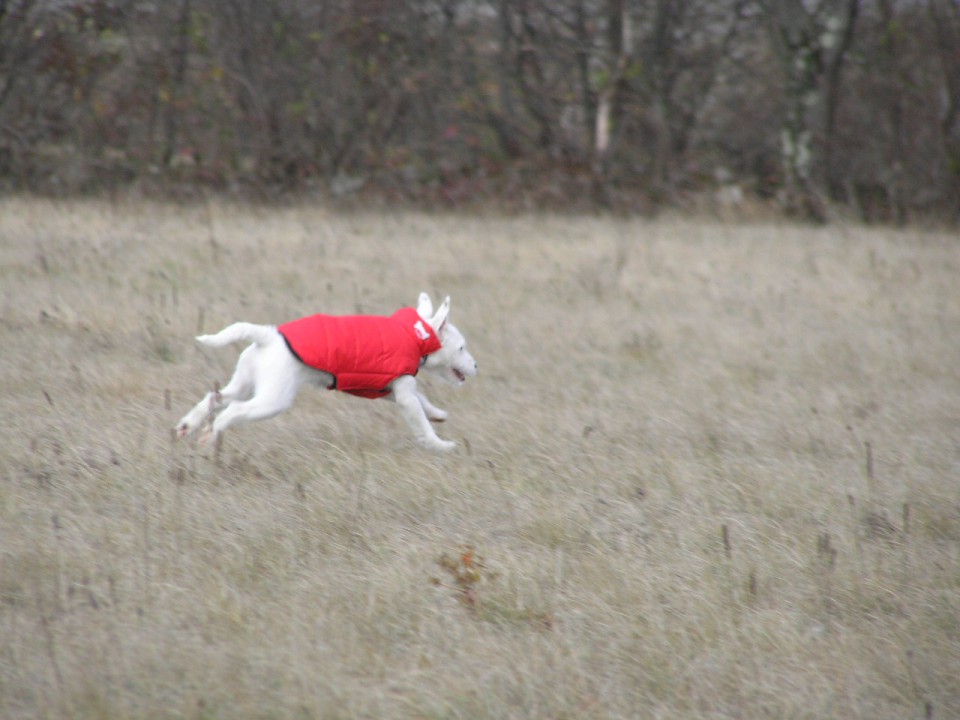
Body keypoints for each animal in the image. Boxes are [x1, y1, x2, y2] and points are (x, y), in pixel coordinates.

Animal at [176, 292, 476, 450]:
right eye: (461, 348)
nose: (475, 366)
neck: (414, 335)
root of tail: (268, 336)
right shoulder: (401, 393)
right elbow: (421, 424)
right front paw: (441, 445)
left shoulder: (388, 389)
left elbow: (423, 401)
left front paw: (438, 414)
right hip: (273, 399)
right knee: (233, 410)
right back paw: (212, 434)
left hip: (244, 382)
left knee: (215, 397)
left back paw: (188, 425)